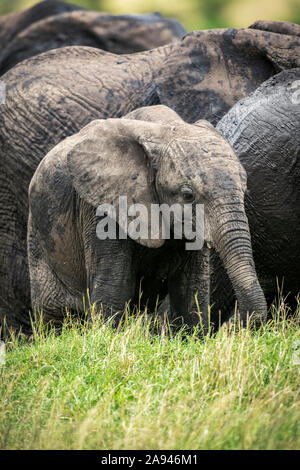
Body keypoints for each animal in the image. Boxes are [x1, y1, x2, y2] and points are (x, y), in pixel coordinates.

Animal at [27, 105, 268, 334]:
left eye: (244, 192)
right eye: (188, 195)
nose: (231, 325)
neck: (164, 130)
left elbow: (192, 288)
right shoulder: (101, 205)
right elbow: (113, 287)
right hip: (37, 241)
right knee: (53, 318)